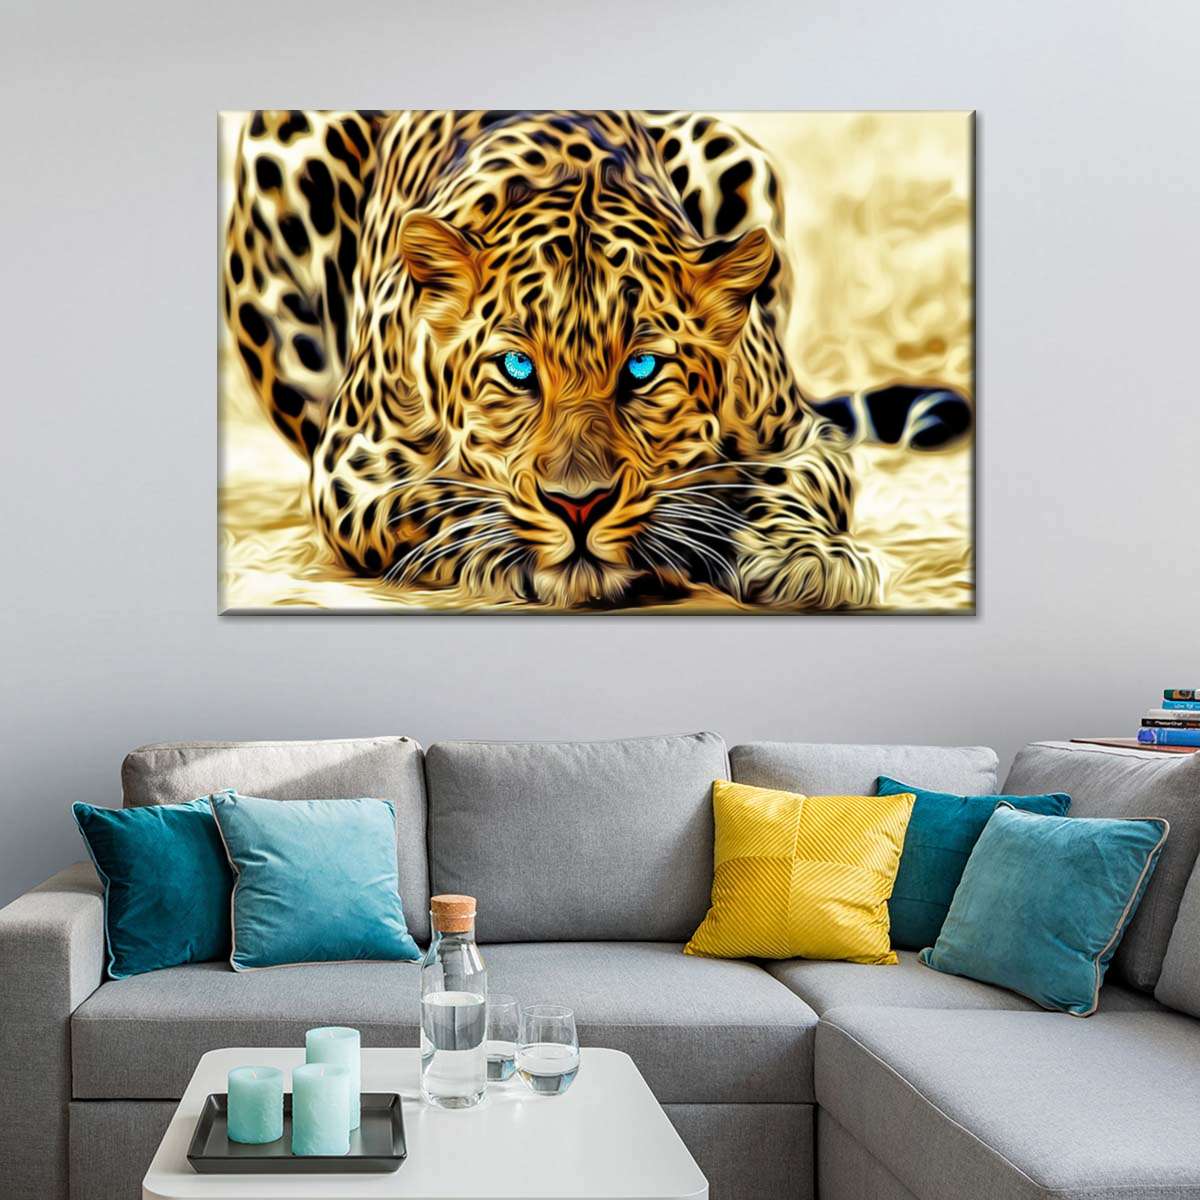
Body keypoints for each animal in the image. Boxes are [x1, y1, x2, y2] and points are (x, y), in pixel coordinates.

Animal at [223, 110, 960, 610]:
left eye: (642, 370)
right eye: (517, 370)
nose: (579, 507)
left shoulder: (804, 436)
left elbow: (791, 485)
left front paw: (808, 555)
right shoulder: (352, 466)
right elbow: (436, 497)